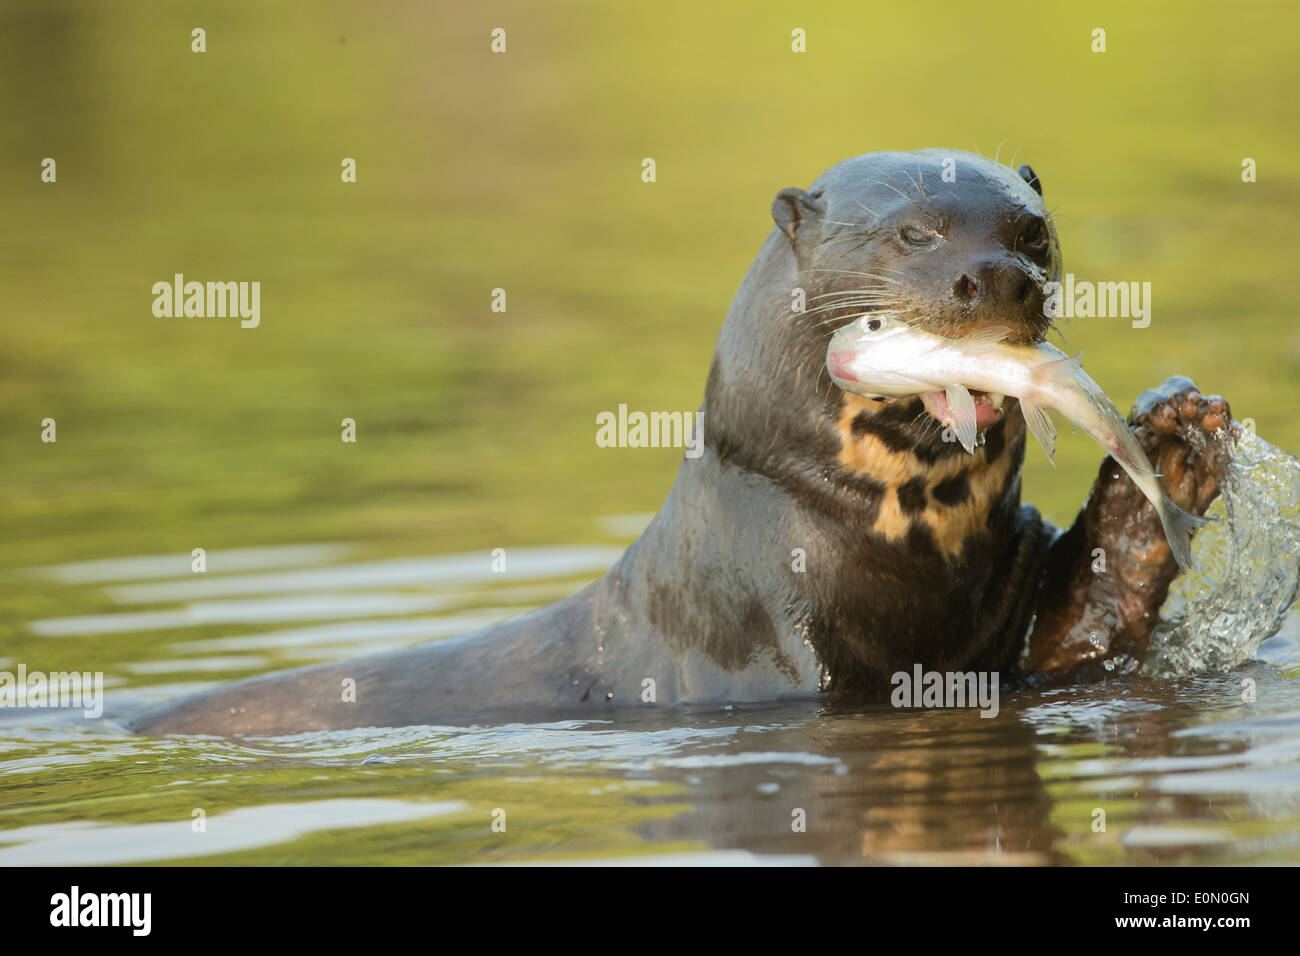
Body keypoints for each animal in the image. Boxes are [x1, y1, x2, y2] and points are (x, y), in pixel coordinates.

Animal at [133, 149, 1235, 736]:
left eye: (1033, 230)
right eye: (916, 234)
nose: (999, 275)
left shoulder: (1003, 621)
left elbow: (1085, 630)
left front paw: (1173, 448)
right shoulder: (770, 641)